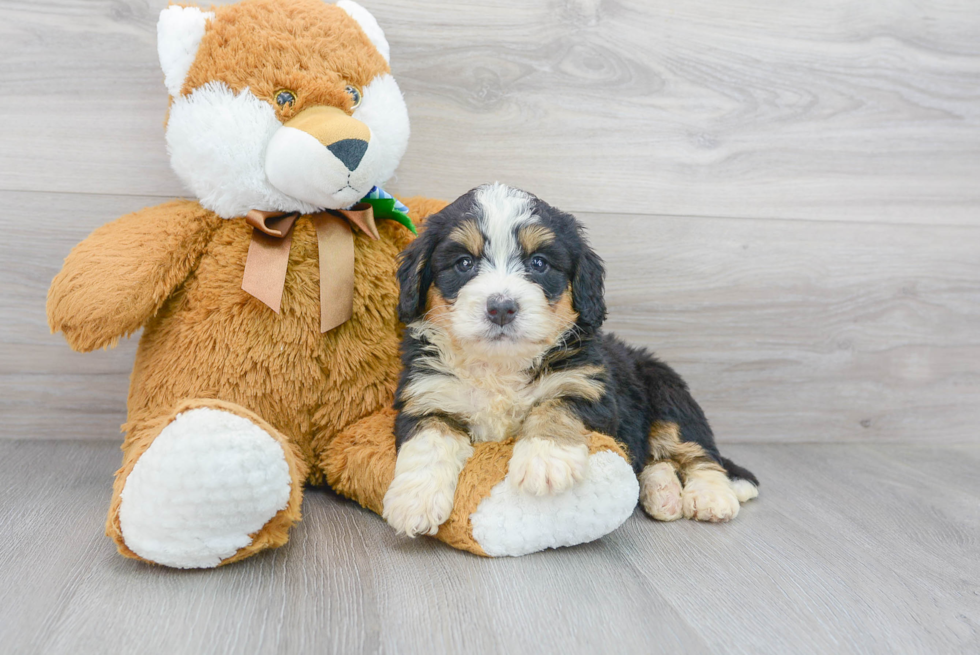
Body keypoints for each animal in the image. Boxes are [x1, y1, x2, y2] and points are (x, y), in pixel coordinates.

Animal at [380, 183, 756, 540]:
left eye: (539, 263)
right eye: (463, 263)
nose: (501, 307)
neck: (500, 365)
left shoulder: (588, 387)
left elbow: (554, 407)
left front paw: (545, 459)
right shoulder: (428, 396)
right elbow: (429, 441)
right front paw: (414, 501)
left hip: (668, 397)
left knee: (698, 453)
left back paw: (711, 497)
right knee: (654, 459)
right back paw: (662, 493)